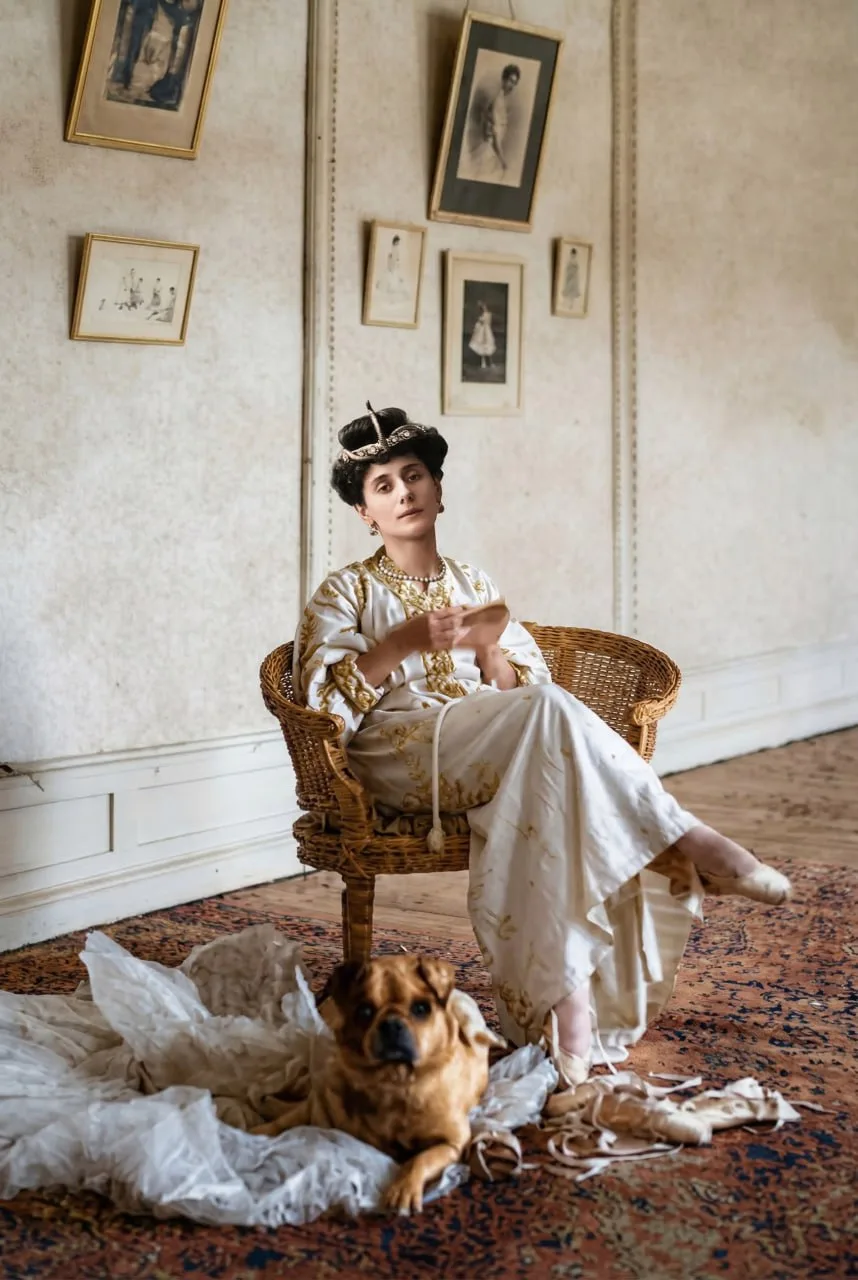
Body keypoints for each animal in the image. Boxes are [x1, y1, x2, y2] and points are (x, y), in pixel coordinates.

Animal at [252, 955, 501, 1213]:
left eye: (421, 1009)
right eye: (364, 1011)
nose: (391, 1024)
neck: (393, 1081)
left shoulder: (451, 1144)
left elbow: (420, 1160)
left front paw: (403, 1188)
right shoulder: (321, 1110)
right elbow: (286, 1120)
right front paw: (258, 1131)